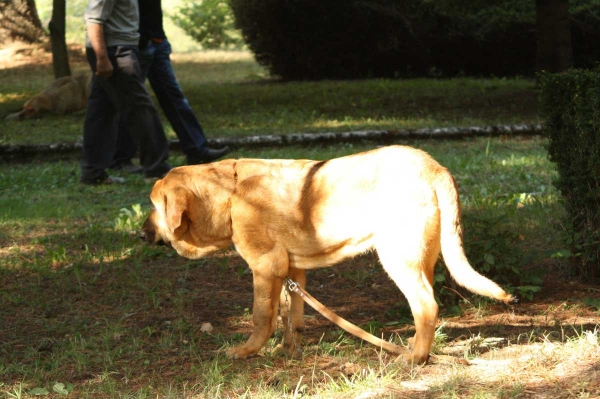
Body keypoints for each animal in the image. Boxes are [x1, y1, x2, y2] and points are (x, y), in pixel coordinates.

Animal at [142, 145, 516, 364]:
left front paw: (247, 351)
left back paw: (415, 358)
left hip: (398, 259)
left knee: (426, 305)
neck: (229, 193)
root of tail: (434, 167)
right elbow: (290, 316)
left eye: (154, 206)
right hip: (422, 258)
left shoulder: (264, 267)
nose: (140, 233)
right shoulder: (290, 272)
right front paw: (288, 349)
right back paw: (413, 346)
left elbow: (261, 317)